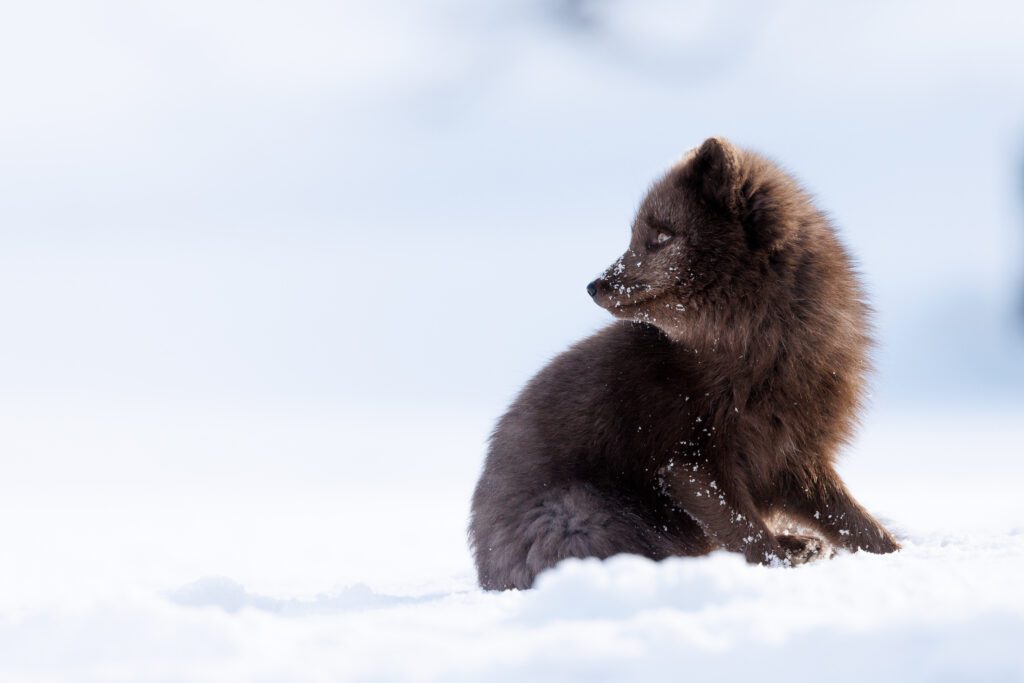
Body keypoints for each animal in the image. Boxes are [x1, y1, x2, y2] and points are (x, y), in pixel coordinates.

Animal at [468, 137, 900, 591]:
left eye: (660, 236)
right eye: (637, 235)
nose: (593, 286)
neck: (757, 354)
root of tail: (485, 569)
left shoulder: (795, 456)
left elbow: (855, 523)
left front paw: (898, 555)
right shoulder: (688, 462)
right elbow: (750, 538)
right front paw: (776, 573)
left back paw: (803, 545)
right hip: (583, 513)